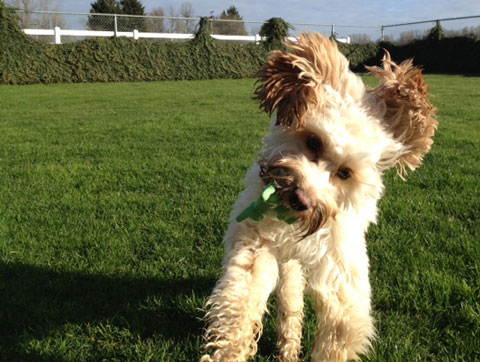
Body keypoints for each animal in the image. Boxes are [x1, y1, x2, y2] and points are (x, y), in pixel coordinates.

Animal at [199, 32, 436, 360]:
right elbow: (240, 307)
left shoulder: (341, 278)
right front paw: (229, 352)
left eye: (345, 173)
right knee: (289, 296)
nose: (301, 199)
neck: (294, 224)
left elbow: (337, 334)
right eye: (313, 142)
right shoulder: (256, 245)